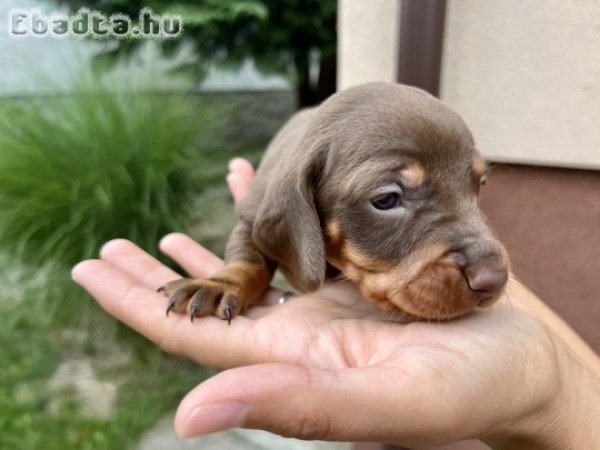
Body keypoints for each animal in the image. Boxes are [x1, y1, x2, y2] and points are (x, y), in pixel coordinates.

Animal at [161, 82, 510, 322]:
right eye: (386, 199)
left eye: (479, 185)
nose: (494, 280)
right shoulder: (251, 217)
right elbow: (248, 258)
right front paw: (223, 283)